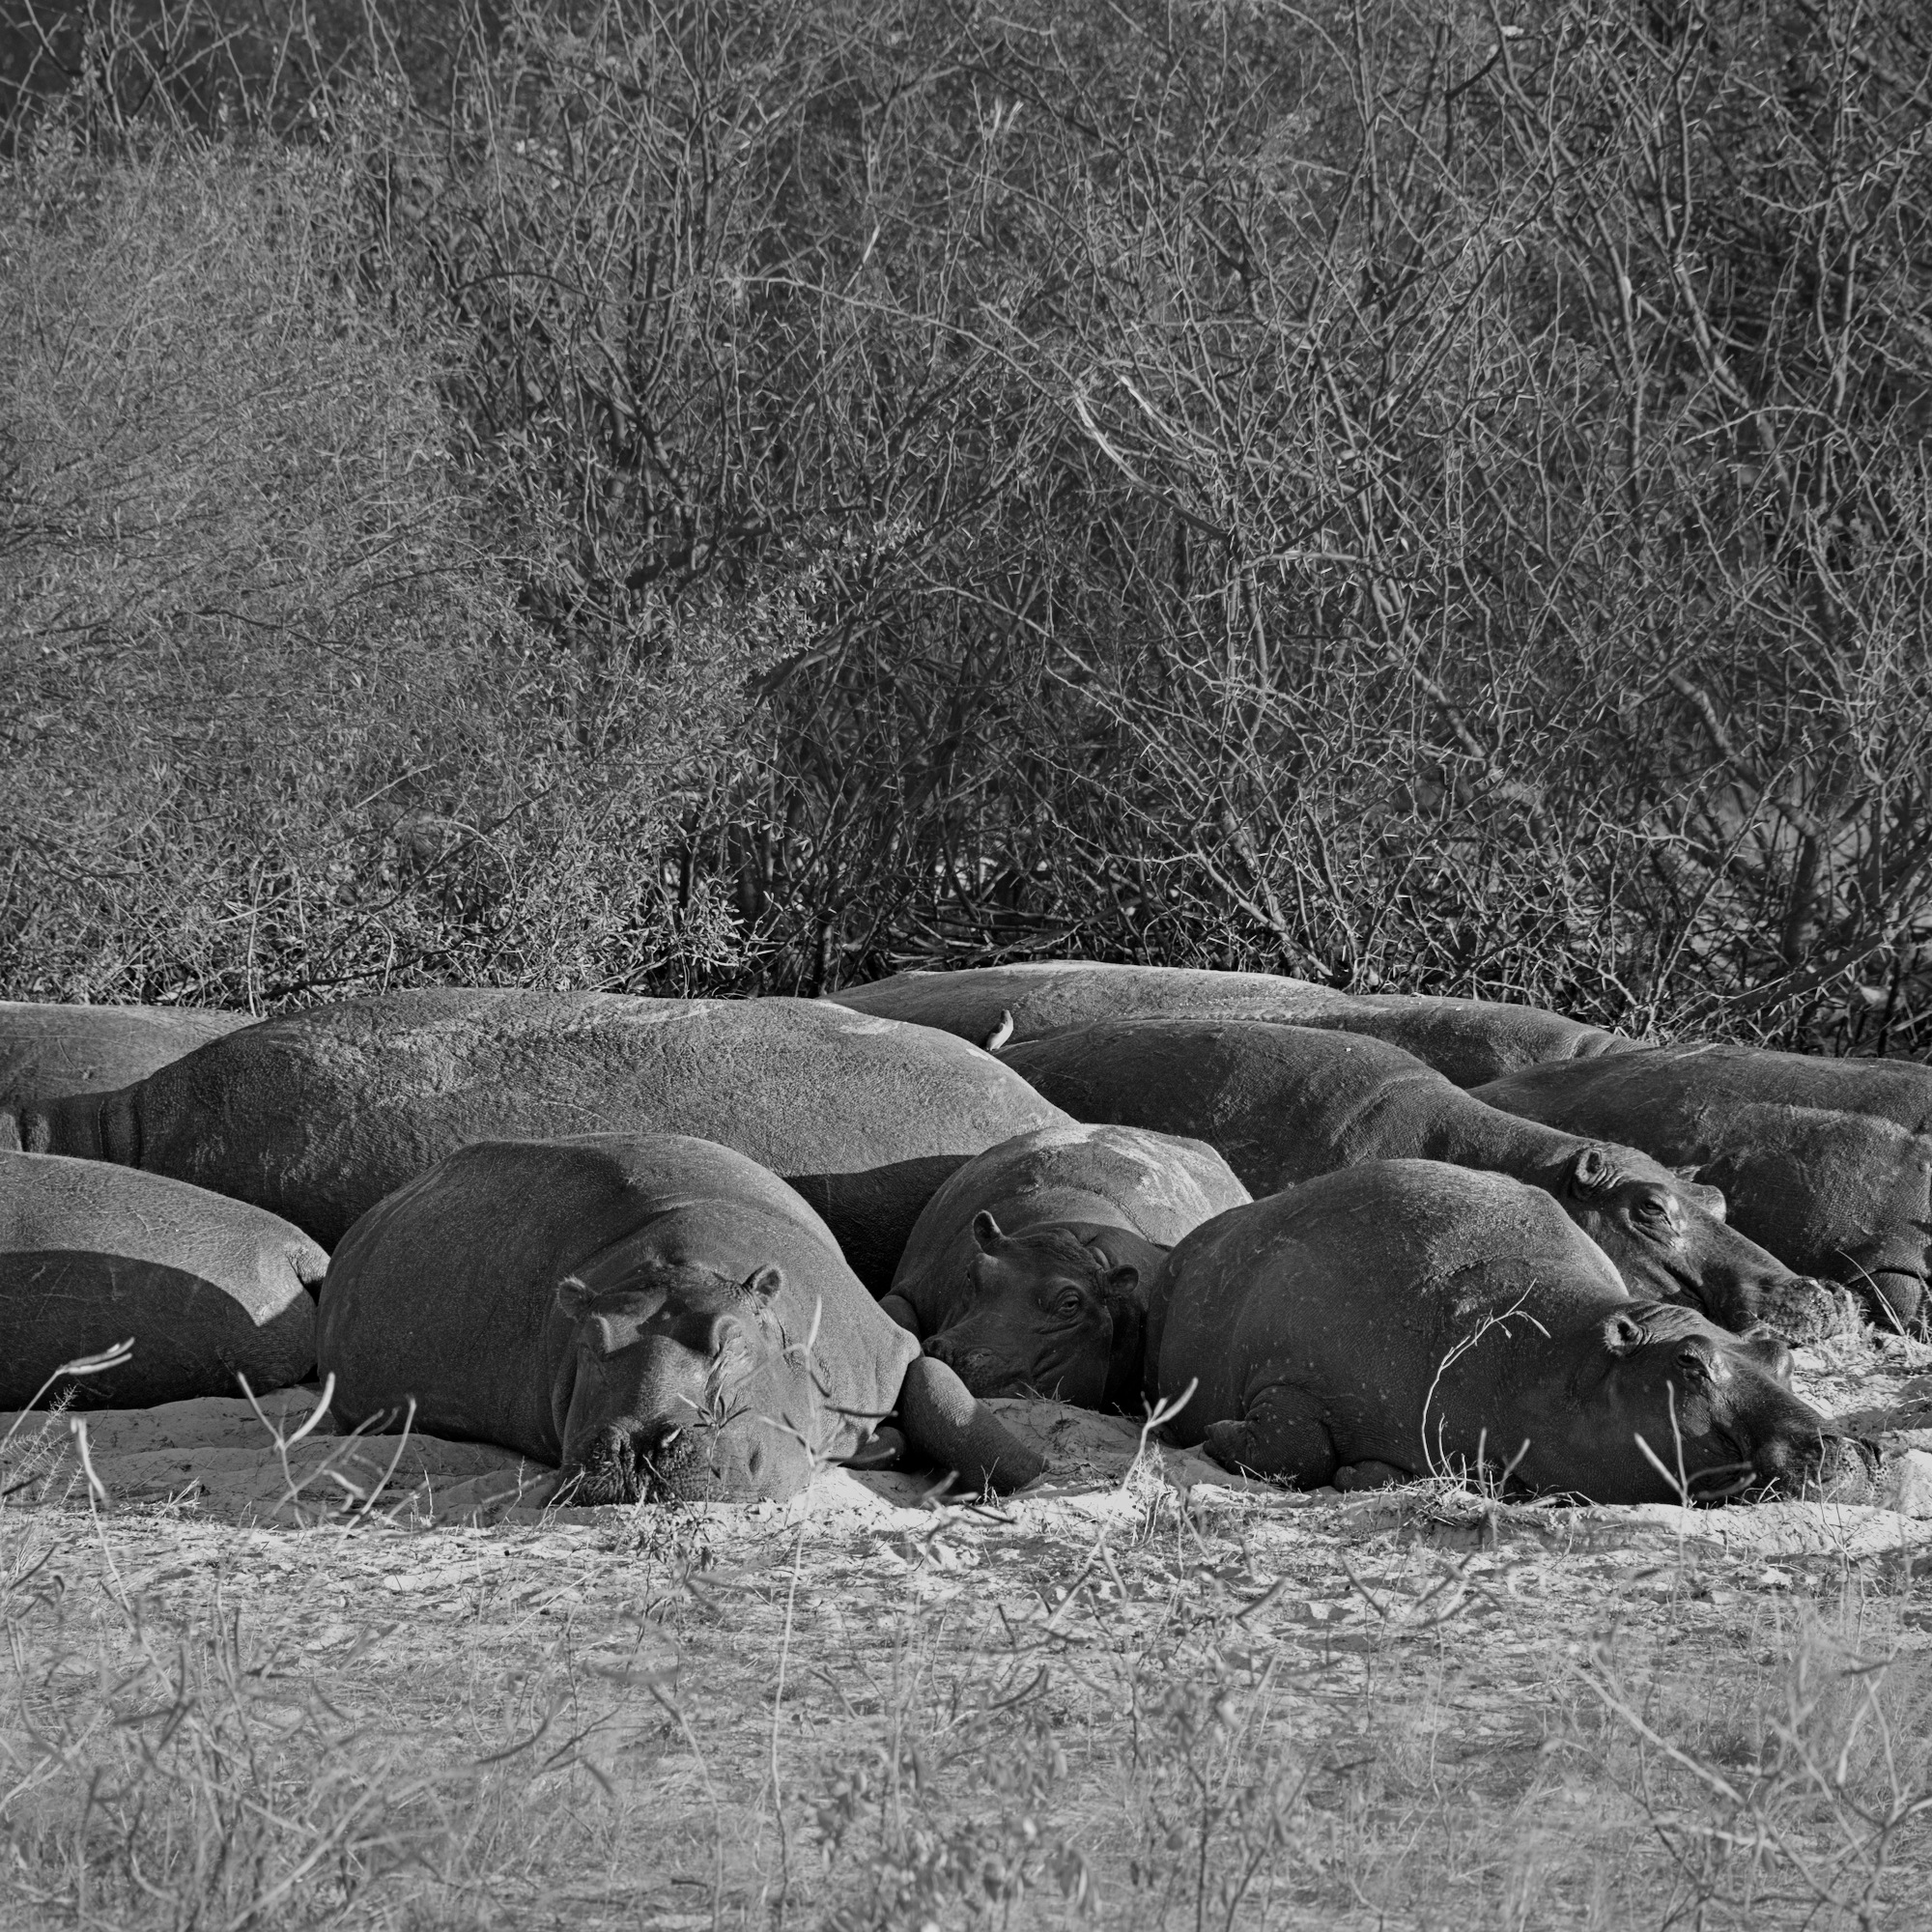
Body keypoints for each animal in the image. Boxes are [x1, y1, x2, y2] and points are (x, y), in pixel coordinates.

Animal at [318, 1134, 1046, 1502]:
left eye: (732, 1344)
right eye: (589, 1343)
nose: (640, 1441)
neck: (682, 1269)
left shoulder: (890, 1343)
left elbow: (937, 1388)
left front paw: (1034, 1474)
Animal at [1148, 1160, 1839, 1503]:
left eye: (1779, 1354)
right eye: (1690, 1362)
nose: (1841, 1447)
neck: (1557, 1361)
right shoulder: (1295, 1377)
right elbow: (1300, 1444)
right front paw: (1219, 1434)